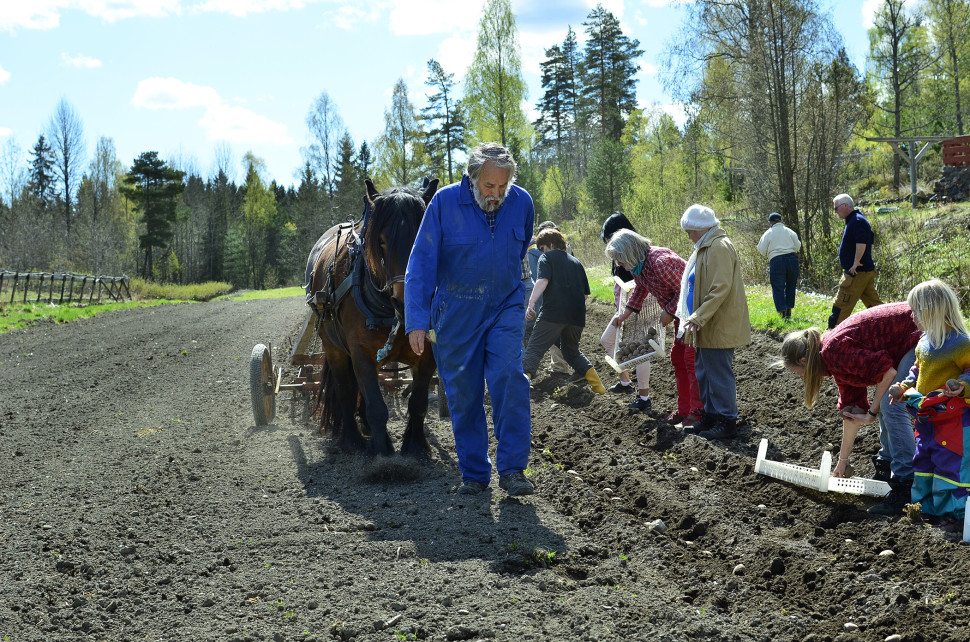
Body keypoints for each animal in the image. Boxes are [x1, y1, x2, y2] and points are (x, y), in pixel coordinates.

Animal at [306, 178, 438, 458]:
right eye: (382, 241)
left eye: (425, 238)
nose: (406, 302)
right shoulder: (361, 352)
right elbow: (375, 405)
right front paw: (382, 453)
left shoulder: (428, 353)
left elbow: (418, 401)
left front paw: (416, 446)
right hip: (333, 346)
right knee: (345, 390)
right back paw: (352, 439)